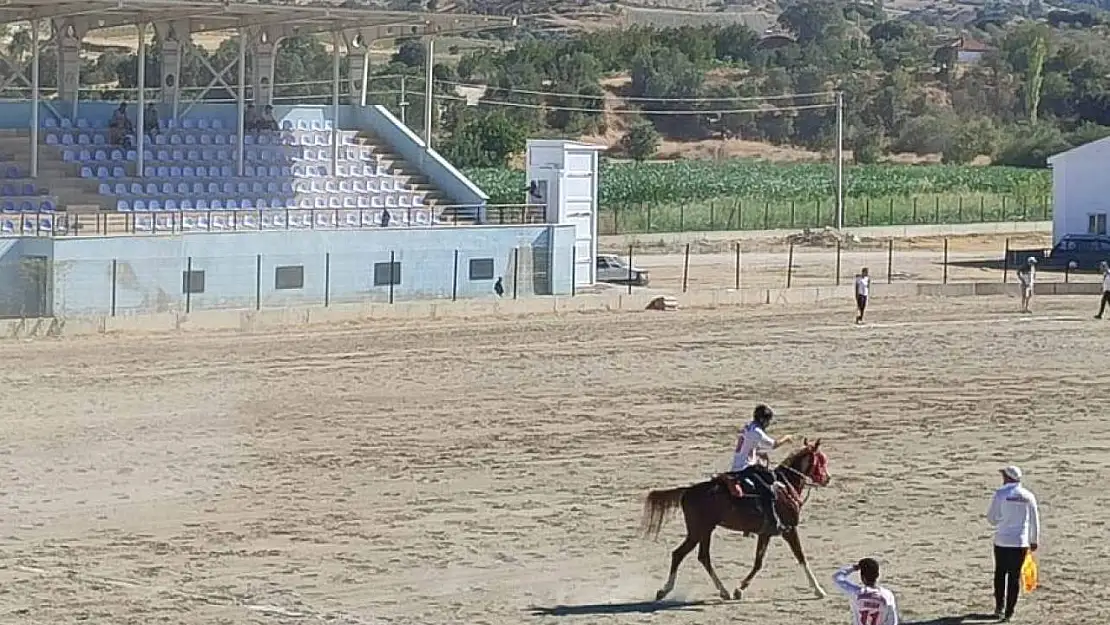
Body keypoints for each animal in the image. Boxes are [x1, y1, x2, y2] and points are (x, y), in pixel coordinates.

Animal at [639, 437, 830, 603]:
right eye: (821, 460)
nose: (827, 478)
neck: (785, 486)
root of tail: (688, 491)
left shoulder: (766, 533)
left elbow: (758, 562)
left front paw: (739, 589)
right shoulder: (789, 529)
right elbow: (801, 557)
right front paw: (818, 590)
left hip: (704, 531)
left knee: (700, 556)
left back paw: (722, 591)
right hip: (698, 531)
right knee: (681, 554)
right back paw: (666, 590)